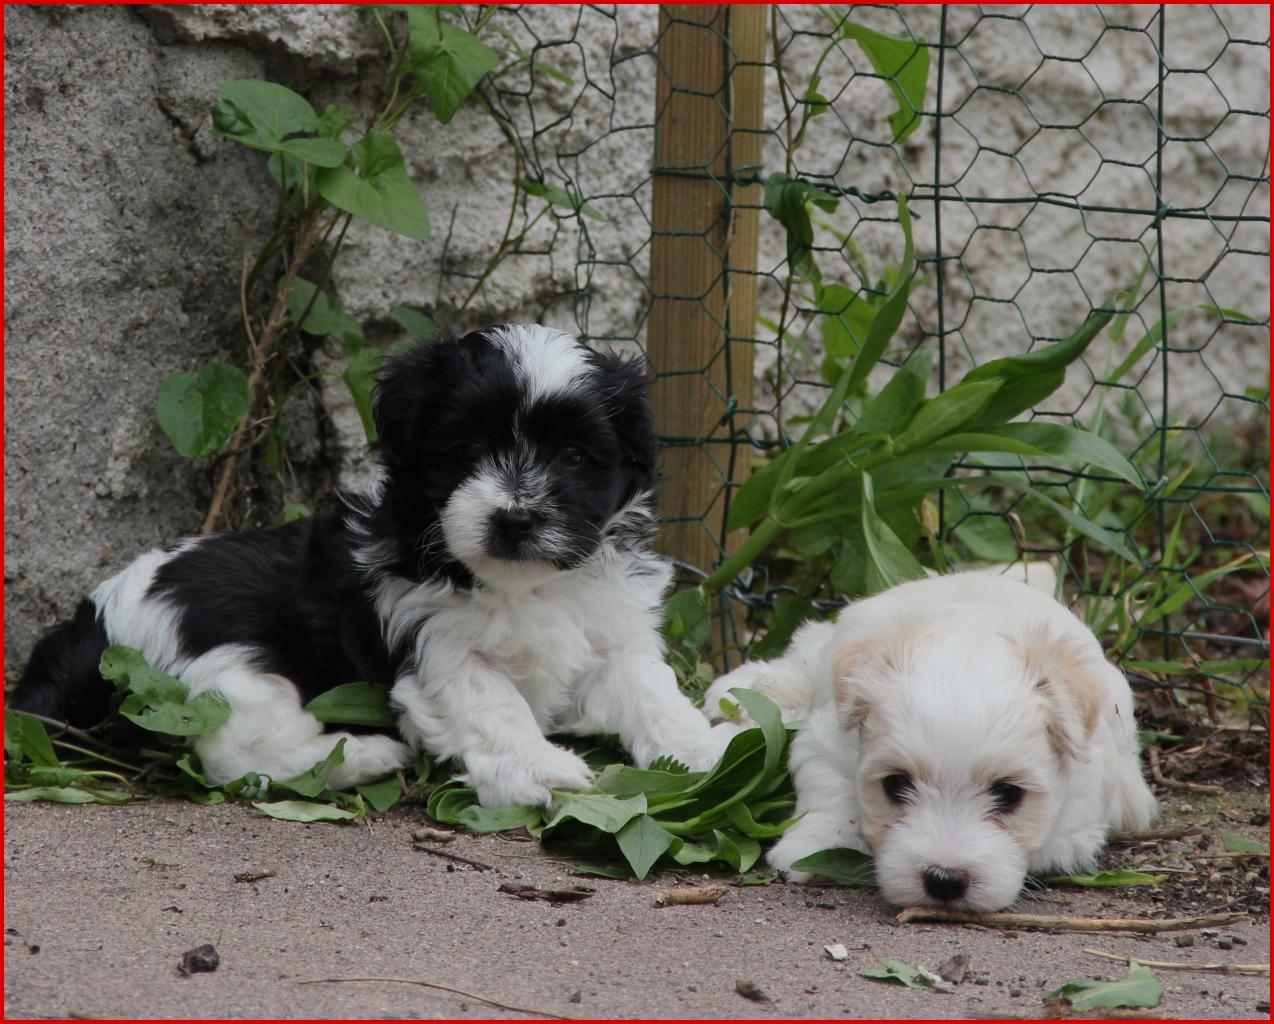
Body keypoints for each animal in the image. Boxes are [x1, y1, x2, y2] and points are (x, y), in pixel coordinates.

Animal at [10, 324, 724, 807]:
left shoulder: (612, 632)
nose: (516, 518)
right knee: (242, 753)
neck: (526, 585)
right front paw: (535, 767)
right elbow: (489, 700)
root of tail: (93, 621)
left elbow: (649, 690)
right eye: (467, 448)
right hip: (226, 656)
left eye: (575, 456)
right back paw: (369, 754)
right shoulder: (430, 638)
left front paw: (704, 750)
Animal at [704, 571, 1158, 911]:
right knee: (799, 662)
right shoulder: (830, 741)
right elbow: (832, 796)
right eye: (896, 785)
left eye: (1009, 794)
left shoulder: (1081, 819)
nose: (944, 880)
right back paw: (741, 695)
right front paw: (812, 845)